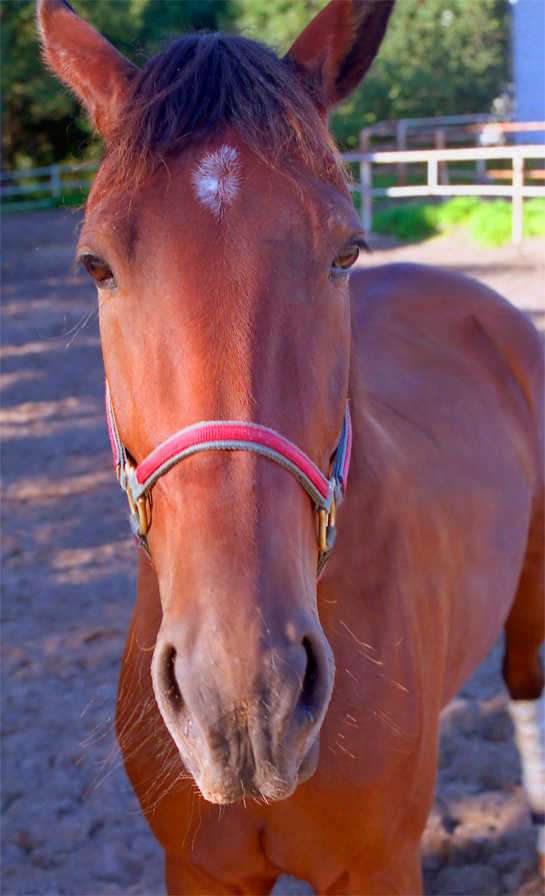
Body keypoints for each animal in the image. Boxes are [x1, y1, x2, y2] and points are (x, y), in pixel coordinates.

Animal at [38, 1, 544, 893]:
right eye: (95, 265)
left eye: (345, 251)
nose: (244, 698)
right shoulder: (198, 869)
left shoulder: (379, 866)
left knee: (523, 684)